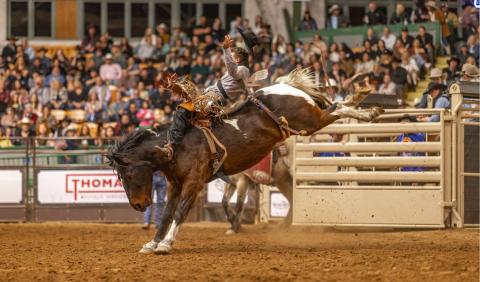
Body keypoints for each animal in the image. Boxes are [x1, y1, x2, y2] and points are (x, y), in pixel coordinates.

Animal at [106, 69, 382, 254]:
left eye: (127, 175)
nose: (138, 205)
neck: (175, 145)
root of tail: (282, 88)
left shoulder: (195, 183)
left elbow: (182, 212)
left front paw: (165, 244)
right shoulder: (175, 185)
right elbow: (166, 214)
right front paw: (152, 243)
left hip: (309, 123)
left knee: (336, 109)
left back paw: (368, 111)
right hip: (289, 164)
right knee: (335, 106)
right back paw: (362, 101)